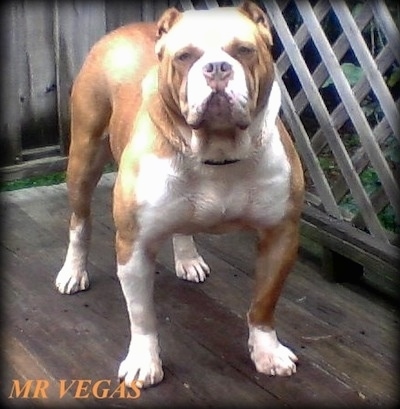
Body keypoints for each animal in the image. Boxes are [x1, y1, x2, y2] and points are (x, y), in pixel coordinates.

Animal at [55, 0, 304, 388]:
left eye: (244, 50)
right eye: (185, 56)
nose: (217, 68)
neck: (217, 150)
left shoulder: (280, 234)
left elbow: (264, 303)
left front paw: (267, 352)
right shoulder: (134, 245)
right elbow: (142, 314)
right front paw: (144, 361)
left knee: (181, 225)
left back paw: (187, 258)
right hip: (83, 157)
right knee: (80, 221)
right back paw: (73, 271)